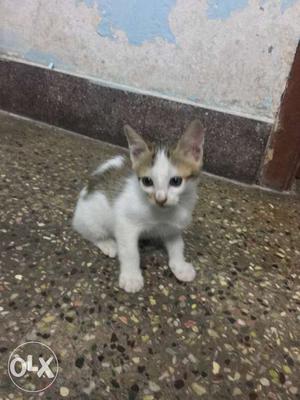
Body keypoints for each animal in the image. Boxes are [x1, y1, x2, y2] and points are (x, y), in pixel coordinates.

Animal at [72, 120, 206, 292]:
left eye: (176, 181)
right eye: (147, 181)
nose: (160, 199)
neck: (161, 213)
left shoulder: (173, 226)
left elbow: (177, 245)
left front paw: (180, 266)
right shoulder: (126, 224)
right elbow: (130, 252)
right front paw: (131, 277)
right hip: (91, 218)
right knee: (89, 232)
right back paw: (107, 243)